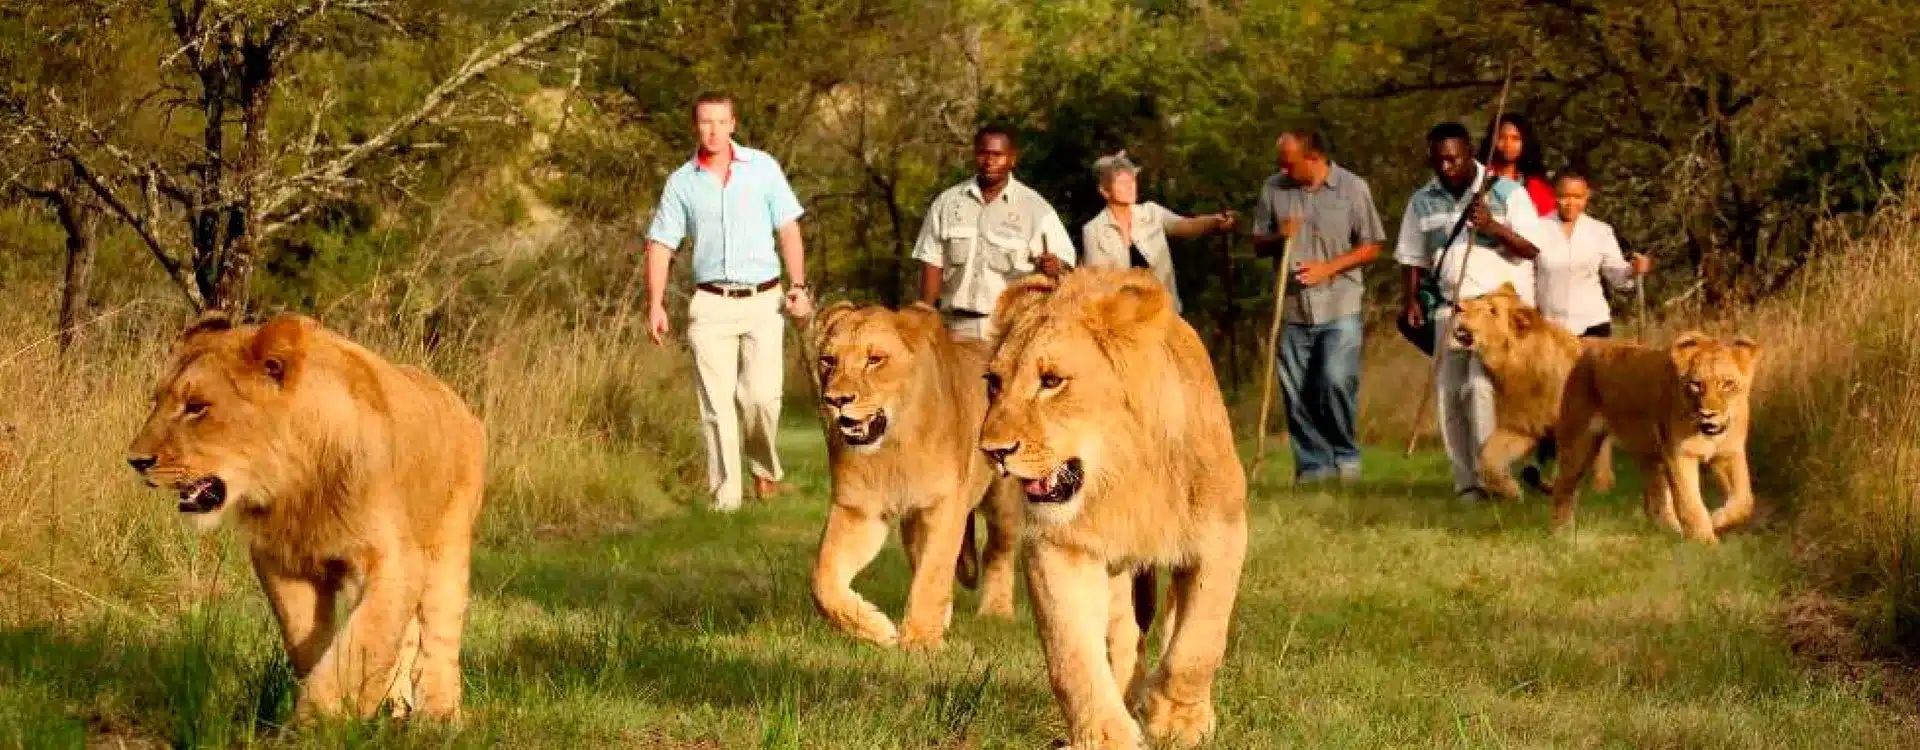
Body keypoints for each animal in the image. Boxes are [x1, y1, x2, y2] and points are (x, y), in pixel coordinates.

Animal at [125, 312, 486, 721]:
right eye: (157, 401)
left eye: (196, 407)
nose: (135, 461)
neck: (298, 487)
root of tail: (462, 406)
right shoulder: (283, 563)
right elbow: (311, 640)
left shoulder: (395, 560)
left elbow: (362, 641)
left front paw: (321, 719)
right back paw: (394, 706)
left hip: (448, 548)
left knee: (440, 637)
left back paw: (439, 715)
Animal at [808, 301, 1021, 650]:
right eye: (828, 360)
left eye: (875, 359)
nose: (836, 400)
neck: (893, 448)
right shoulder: (858, 510)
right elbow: (822, 578)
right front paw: (876, 629)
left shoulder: (944, 505)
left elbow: (933, 572)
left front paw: (921, 640)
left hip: (1001, 500)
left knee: (997, 549)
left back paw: (996, 612)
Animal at [979, 268, 1247, 749]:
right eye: (993, 383)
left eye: (1051, 381)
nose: (993, 451)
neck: (1124, 478)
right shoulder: (1059, 546)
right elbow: (1071, 651)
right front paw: (1104, 733)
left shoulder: (1224, 534)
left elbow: (1199, 642)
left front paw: (1176, 720)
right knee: (1123, 637)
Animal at [1450, 282, 1614, 499]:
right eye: (1481, 297)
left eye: (1493, 310)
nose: (1457, 306)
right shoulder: (1520, 427)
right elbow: (1487, 455)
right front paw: (1510, 490)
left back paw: (1602, 487)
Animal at [1547, 331, 1760, 544]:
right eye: (1696, 385)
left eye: (1728, 384)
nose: (1708, 414)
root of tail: (1588, 346)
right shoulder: (1679, 454)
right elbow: (1689, 502)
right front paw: (1704, 539)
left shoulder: (1729, 454)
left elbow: (1745, 502)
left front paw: (1715, 520)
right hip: (1579, 444)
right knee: (1563, 487)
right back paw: (1562, 533)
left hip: (1650, 456)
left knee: (1655, 502)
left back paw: (1672, 532)